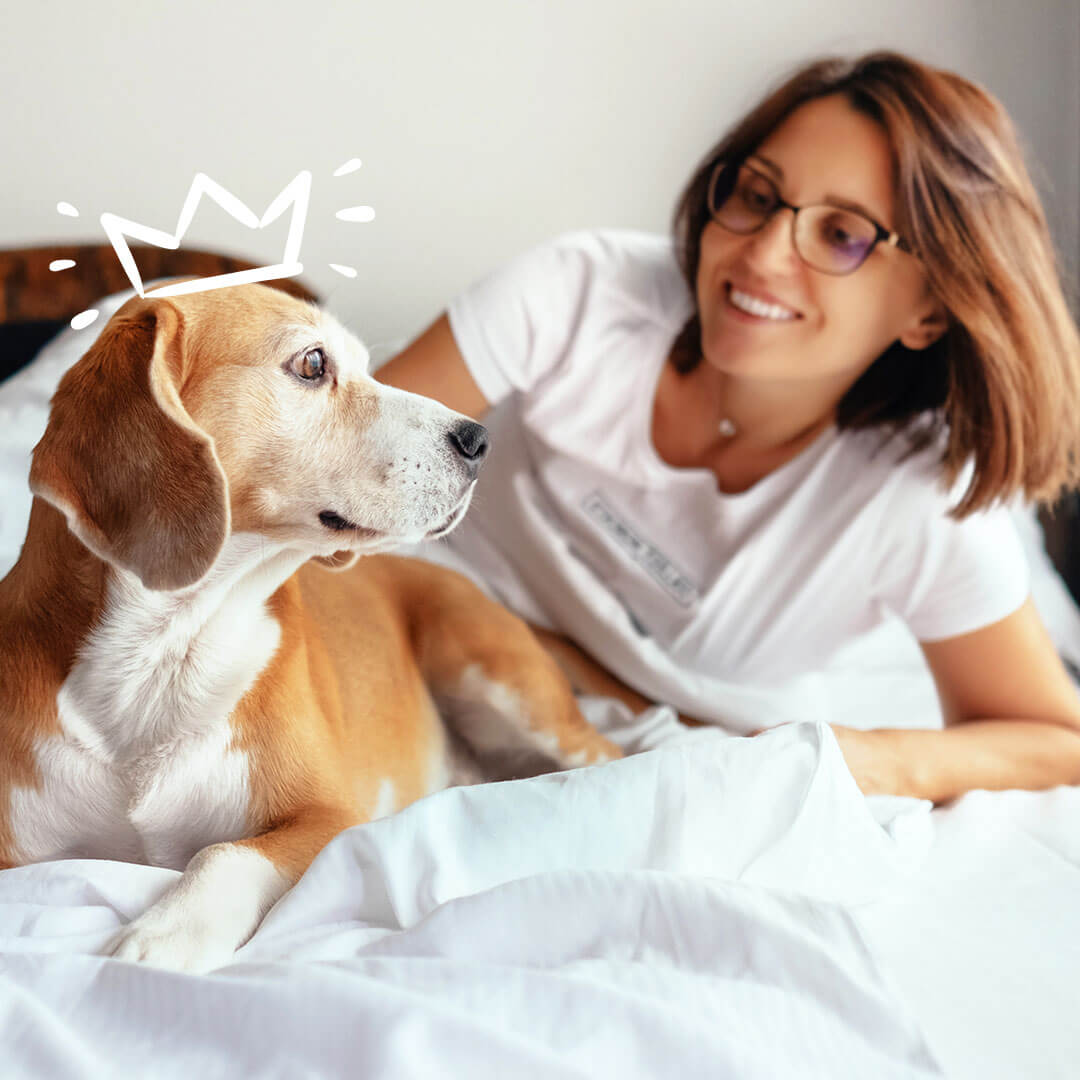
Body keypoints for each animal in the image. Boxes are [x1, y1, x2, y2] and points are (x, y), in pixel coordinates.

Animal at [0, 282, 622, 976]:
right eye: (313, 363)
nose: (480, 440)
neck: (163, 650)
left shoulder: (331, 818)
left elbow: (224, 853)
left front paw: (167, 932)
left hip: (502, 682)